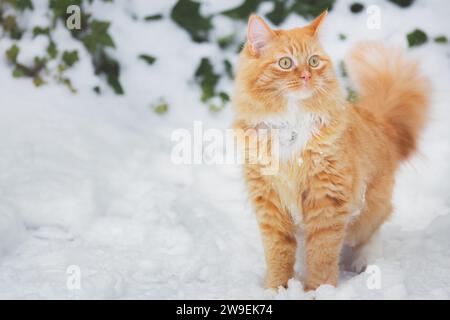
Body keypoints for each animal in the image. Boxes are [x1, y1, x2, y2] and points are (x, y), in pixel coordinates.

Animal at [234, 11, 430, 292]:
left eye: (314, 61)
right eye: (285, 63)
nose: (307, 76)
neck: (291, 124)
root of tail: (382, 125)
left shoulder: (327, 199)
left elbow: (322, 254)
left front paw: (318, 291)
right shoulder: (269, 200)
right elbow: (278, 254)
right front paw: (276, 289)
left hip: (365, 215)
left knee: (371, 234)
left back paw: (363, 264)